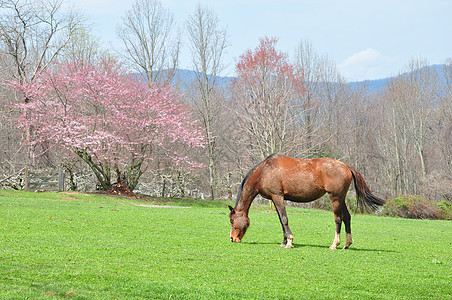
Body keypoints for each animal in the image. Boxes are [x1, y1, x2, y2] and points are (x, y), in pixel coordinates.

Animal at [230, 154, 384, 250]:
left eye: (232, 220)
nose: (232, 239)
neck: (264, 171)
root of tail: (345, 165)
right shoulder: (276, 199)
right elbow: (281, 220)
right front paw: (284, 241)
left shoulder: (278, 196)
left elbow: (284, 219)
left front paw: (289, 241)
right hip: (341, 199)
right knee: (347, 217)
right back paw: (347, 244)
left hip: (335, 198)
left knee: (338, 219)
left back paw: (335, 244)